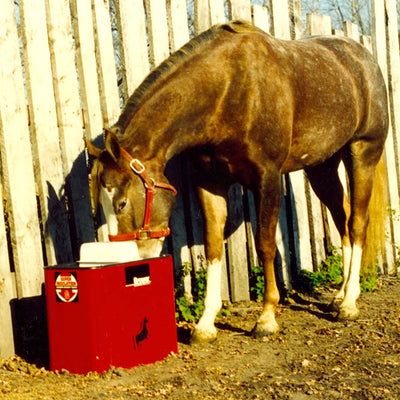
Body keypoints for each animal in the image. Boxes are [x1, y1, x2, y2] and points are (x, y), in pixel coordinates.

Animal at [84, 20, 388, 342]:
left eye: (121, 203)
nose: (127, 261)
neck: (227, 91)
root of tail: (364, 60)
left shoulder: (266, 179)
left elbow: (265, 245)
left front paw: (266, 317)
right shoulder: (210, 183)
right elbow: (214, 246)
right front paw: (206, 323)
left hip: (362, 153)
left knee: (357, 223)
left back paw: (350, 302)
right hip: (322, 167)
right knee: (343, 219)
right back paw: (340, 294)